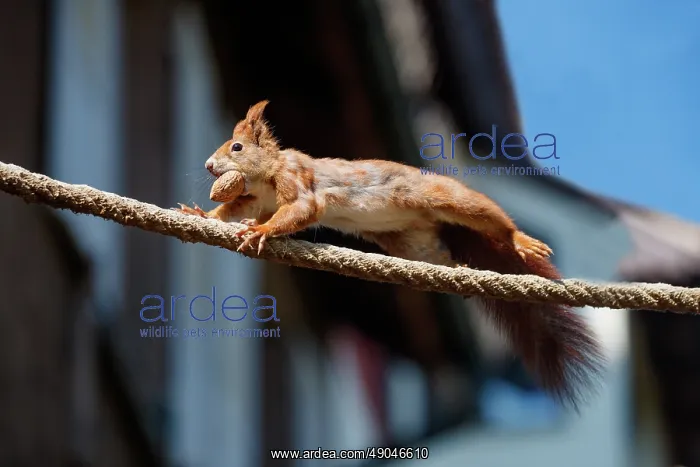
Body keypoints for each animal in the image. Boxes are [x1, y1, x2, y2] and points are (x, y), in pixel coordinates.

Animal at [175, 100, 605, 409]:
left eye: (237, 146)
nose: (209, 165)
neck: (266, 175)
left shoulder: (294, 180)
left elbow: (301, 209)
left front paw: (261, 231)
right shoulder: (254, 199)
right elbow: (232, 211)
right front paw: (202, 214)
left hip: (444, 199)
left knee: (488, 216)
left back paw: (519, 240)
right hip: (412, 242)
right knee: (441, 258)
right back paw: (460, 273)